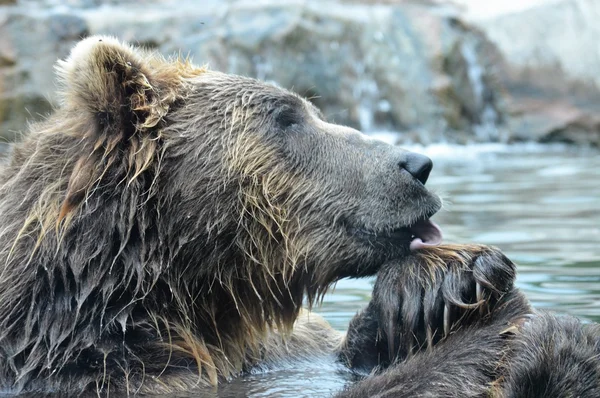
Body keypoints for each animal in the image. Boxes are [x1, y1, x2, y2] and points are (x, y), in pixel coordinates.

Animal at [0, 35, 544, 396]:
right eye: (287, 118)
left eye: (307, 110)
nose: (417, 164)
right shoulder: (114, 370)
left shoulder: (278, 351)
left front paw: (447, 277)